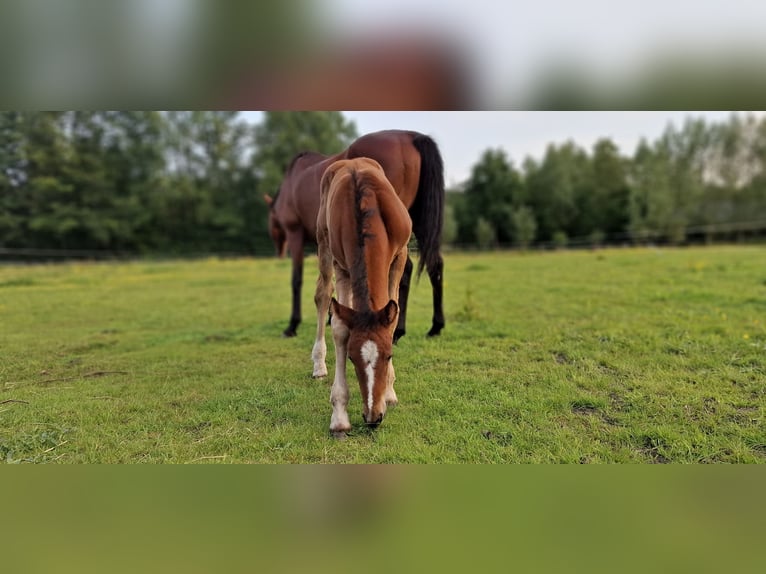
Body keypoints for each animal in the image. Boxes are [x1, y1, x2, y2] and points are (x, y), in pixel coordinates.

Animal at [266, 129, 448, 342]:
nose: (279, 251)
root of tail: (411, 136)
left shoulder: (295, 234)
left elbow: (297, 280)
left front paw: (292, 326)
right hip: (417, 222)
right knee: (434, 265)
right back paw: (434, 327)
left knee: (406, 270)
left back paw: (398, 331)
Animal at [310, 158, 414, 436]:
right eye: (351, 358)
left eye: (389, 355)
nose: (372, 417)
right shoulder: (342, 266)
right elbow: (339, 328)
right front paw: (339, 416)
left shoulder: (400, 255)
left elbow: (394, 315)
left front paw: (389, 391)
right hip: (324, 245)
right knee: (323, 295)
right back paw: (319, 364)